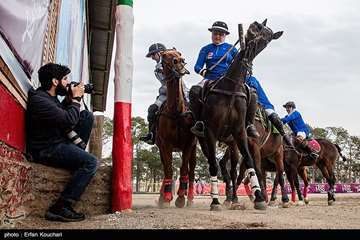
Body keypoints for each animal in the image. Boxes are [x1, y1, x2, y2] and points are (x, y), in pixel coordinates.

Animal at [155, 48, 197, 208]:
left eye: (178, 53)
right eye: (164, 56)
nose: (179, 62)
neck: (177, 112)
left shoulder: (189, 144)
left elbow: (184, 168)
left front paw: (180, 198)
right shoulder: (165, 144)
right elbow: (168, 169)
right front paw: (166, 197)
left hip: (194, 148)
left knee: (191, 171)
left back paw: (189, 198)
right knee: (166, 167)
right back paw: (162, 196)